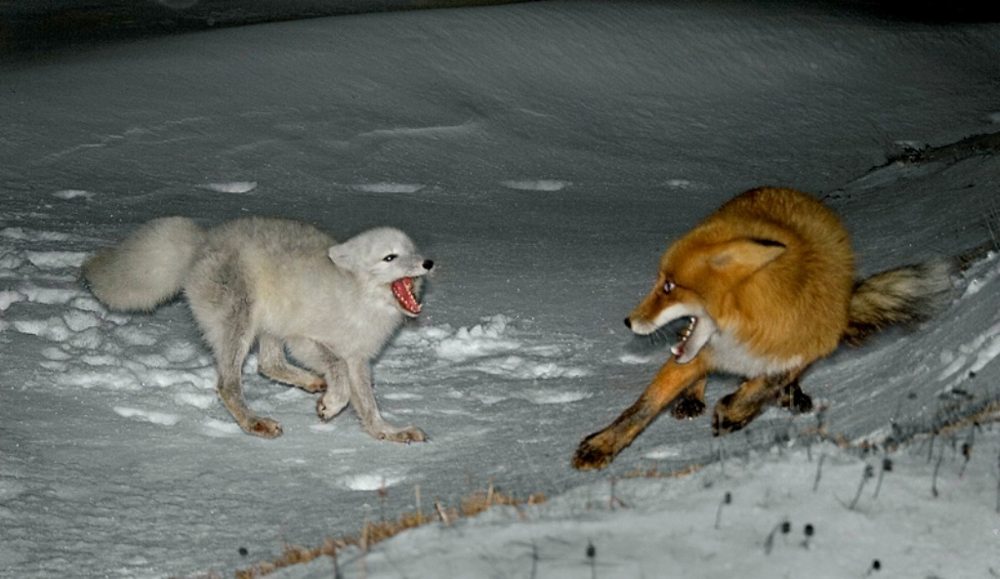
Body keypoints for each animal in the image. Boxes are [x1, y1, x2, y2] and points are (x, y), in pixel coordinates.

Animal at [82, 215, 434, 442]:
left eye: (413, 252)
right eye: (390, 258)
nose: (428, 262)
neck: (359, 298)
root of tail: (202, 241)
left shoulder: (358, 359)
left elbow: (368, 405)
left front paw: (386, 432)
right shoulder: (304, 340)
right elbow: (339, 374)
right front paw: (331, 405)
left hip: (268, 325)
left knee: (268, 364)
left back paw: (310, 382)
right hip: (242, 323)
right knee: (228, 384)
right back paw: (254, 422)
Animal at [576, 188, 948, 468]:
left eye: (668, 287)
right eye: (660, 282)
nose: (628, 321)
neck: (748, 326)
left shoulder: (808, 345)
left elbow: (767, 382)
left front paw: (734, 412)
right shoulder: (701, 353)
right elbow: (642, 408)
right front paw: (602, 445)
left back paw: (789, 396)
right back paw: (694, 399)